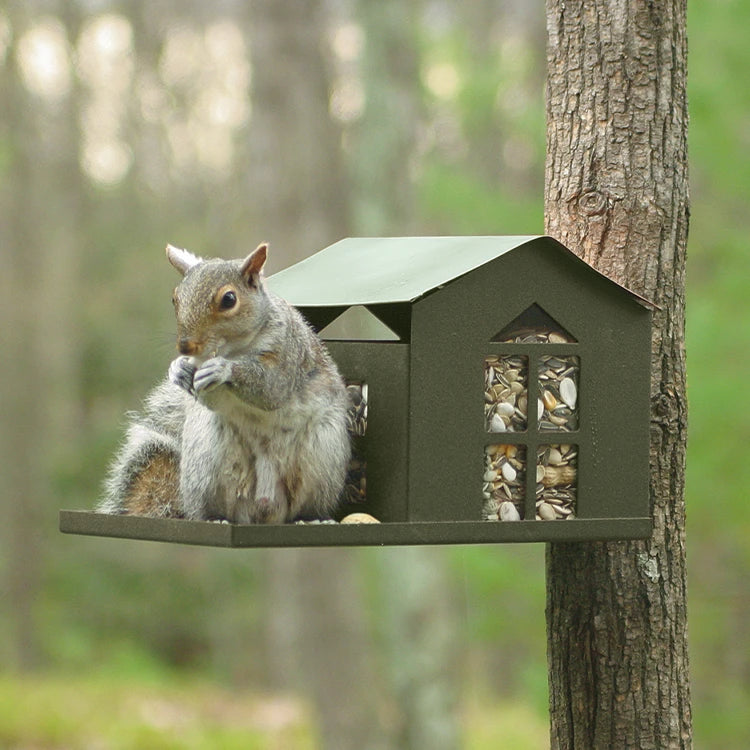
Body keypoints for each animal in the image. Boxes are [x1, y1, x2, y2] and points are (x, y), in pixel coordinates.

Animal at [97, 242, 351, 524]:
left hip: (323, 453)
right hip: (205, 460)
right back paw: (214, 517)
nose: (185, 346)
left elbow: (271, 388)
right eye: (175, 298)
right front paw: (177, 368)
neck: (233, 348)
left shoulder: (289, 355)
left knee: (306, 504)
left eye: (229, 299)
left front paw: (223, 369)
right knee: (209, 508)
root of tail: (264, 508)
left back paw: (311, 517)